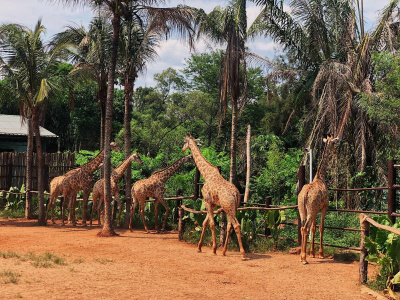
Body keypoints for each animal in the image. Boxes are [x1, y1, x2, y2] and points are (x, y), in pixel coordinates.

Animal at [298, 135, 340, 264]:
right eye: (333, 142)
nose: (335, 151)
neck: (320, 177)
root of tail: (305, 195)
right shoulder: (324, 207)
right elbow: (321, 227)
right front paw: (320, 254)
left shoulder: (316, 209)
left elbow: (314, 228)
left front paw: (312, 253)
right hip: (311, 210)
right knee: (305, 228)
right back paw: (304, 258)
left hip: (303, 210)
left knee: (303, 227)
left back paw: (302, 256)